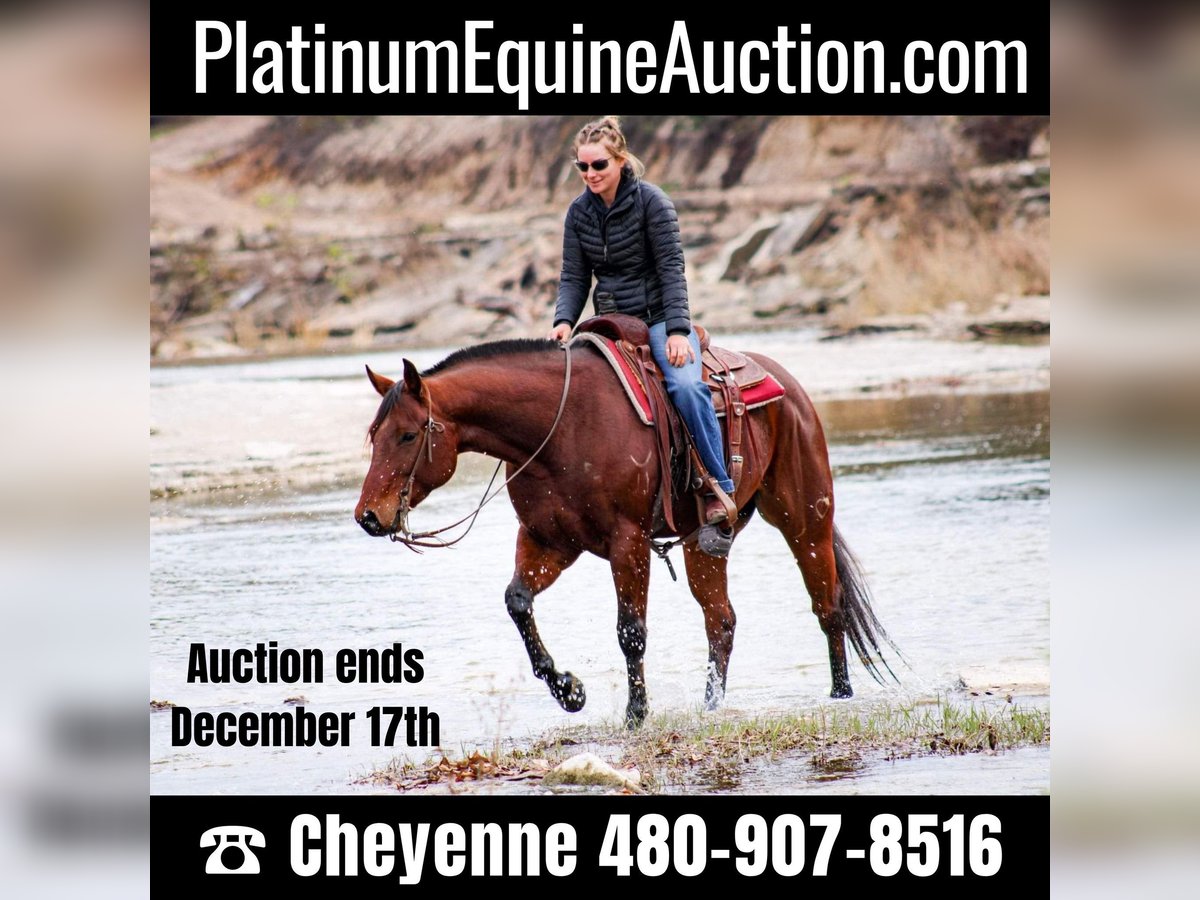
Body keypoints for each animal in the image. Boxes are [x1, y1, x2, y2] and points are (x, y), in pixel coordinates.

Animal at [354, 334, 899, 727]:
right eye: (374, 434)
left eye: (408, 434)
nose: (368, 517)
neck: (559, 428)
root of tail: (790, 386)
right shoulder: (548, 541)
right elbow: (518, 602)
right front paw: (569, 690)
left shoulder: (628, 541)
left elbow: (630, 631)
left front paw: (636, 713)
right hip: (706, 544)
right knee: (721, 621)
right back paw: (712, 707)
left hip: (805, 519)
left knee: (828, 606)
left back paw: (841, 695)